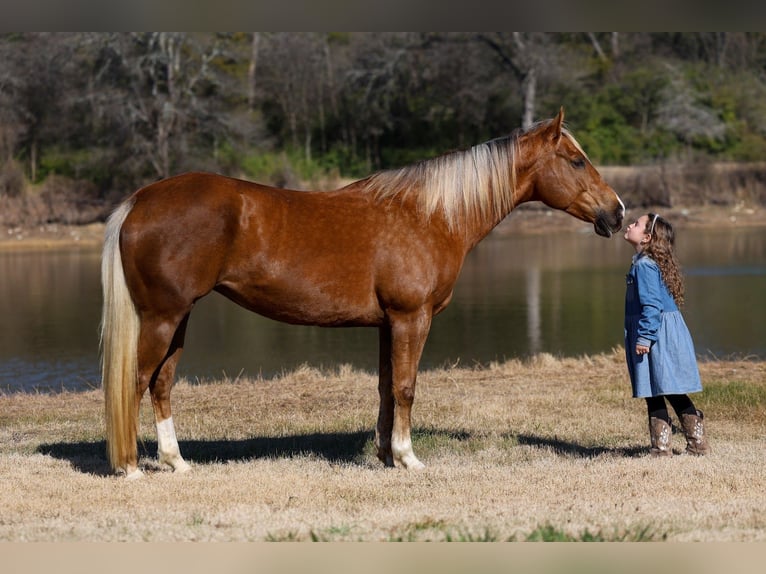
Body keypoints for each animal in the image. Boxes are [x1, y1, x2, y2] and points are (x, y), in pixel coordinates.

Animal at [100, 107, 624, 479]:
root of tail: (140, 200)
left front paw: (385, 455)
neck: (429, 215)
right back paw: (130, 468)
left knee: (162, 384)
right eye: (576, 160)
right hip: (163, 317)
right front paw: (408, 458)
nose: (617, 212)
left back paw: (176, 462)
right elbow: (407, 386)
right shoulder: (412, 317)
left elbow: (387, 388)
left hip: (179, 317)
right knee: (135, 382)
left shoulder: (388, 323)